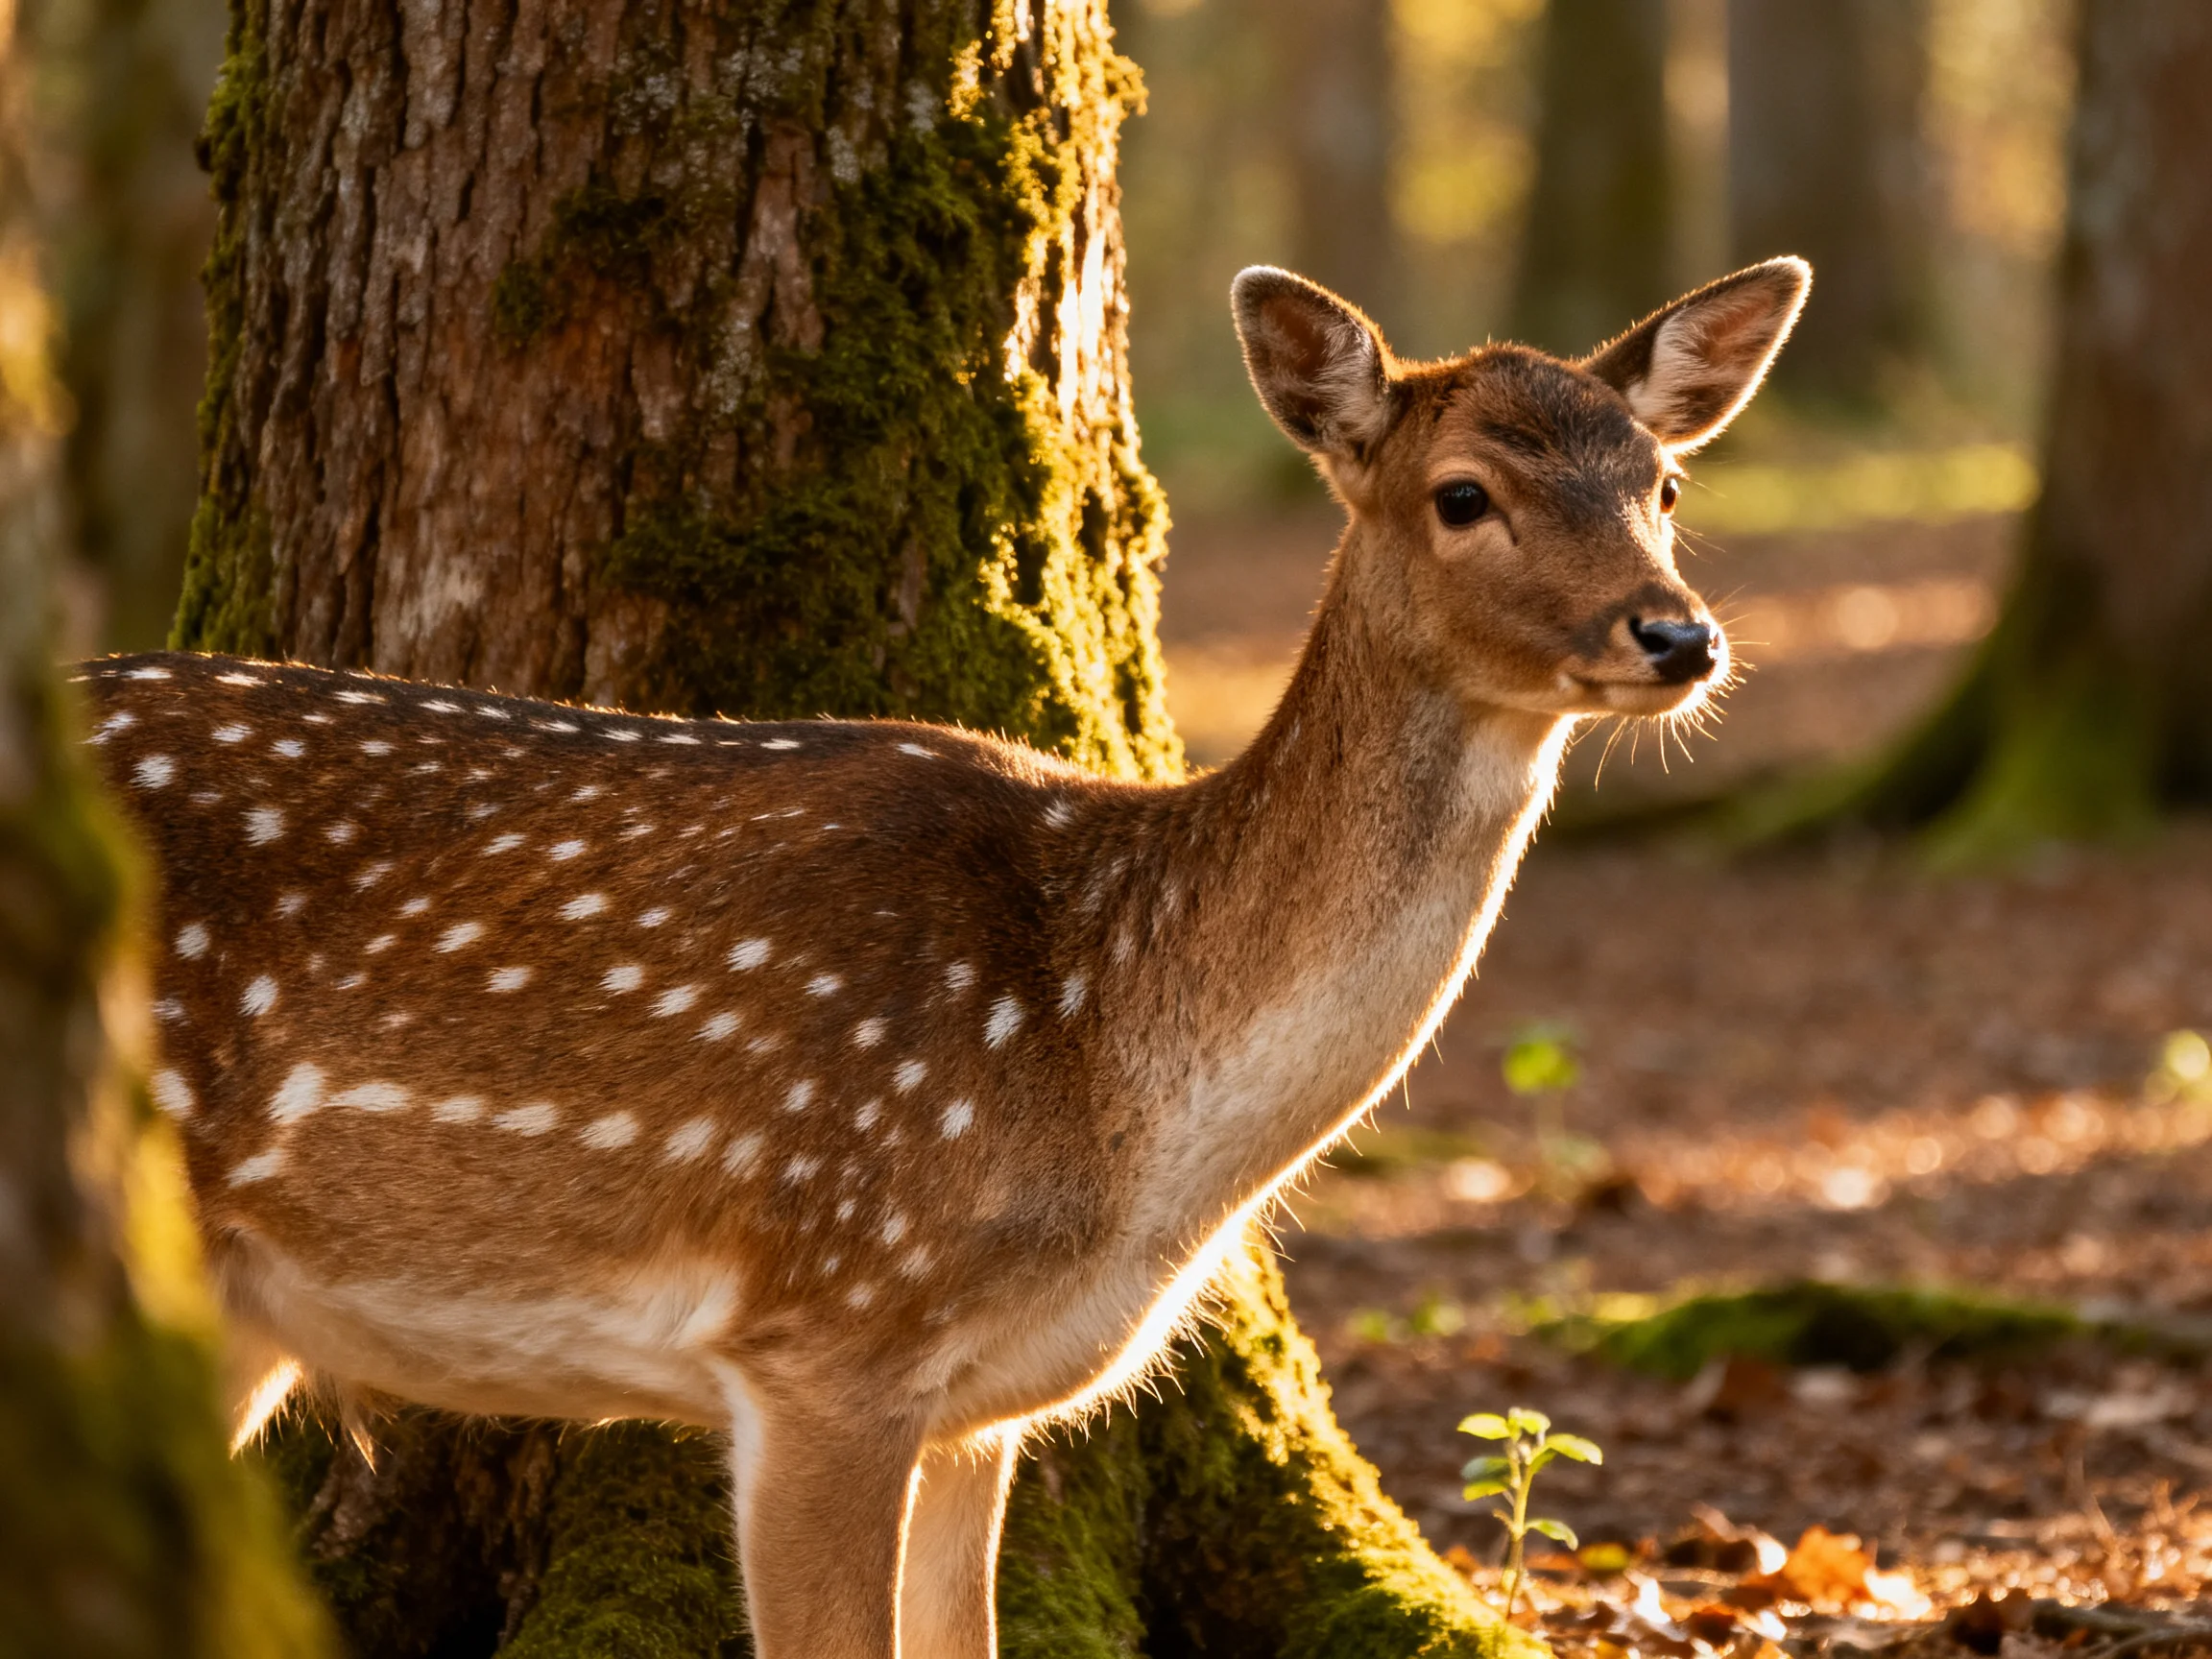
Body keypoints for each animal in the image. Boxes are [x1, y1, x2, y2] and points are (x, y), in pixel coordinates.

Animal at [80, 256, 1806, 1657]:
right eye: (1460, 494)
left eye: (1660, 482)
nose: (1676, 634)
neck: (1119, 1080)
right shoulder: (824, 1328)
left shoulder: (983, 1409)